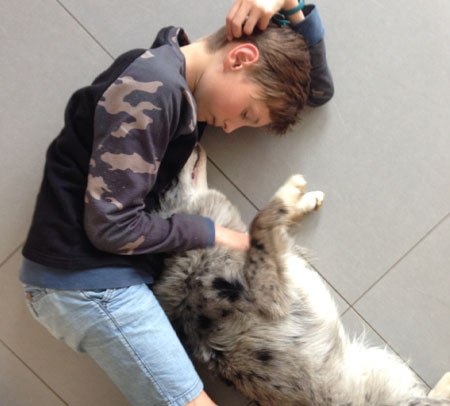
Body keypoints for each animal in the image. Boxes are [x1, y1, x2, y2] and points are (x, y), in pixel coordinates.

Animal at [152, 146, 450, 406]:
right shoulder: (274, 298)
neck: (193, 258)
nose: (194, 143)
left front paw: (302, 202)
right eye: (167, 186)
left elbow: (269, 223)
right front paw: (290, 192)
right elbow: (261, 221)